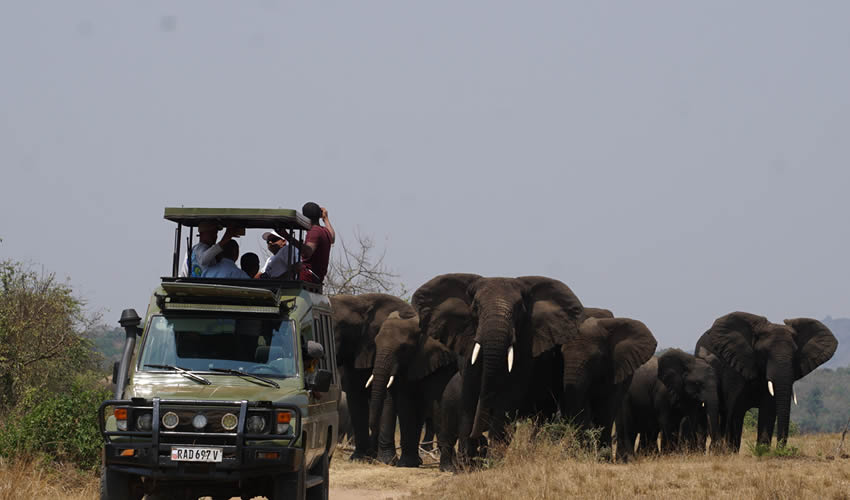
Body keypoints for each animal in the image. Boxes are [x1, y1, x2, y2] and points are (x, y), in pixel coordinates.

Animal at [367, 310, 460, 467]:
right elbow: (406, 401)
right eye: (375, 343)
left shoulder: (441, 361)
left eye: (403, 348)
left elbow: (437, 397)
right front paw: (406, 464)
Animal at [412, 274, 585, 460]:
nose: (479, 438)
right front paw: (466, 461)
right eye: (476, 307)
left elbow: (507, 397)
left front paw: (492, 460)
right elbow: (469, 395)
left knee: (543, 416)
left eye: (519, 309)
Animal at [695, 312, 837, 451]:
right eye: (763, 352)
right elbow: (735, 408)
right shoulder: (734, 367)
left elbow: (768, 409)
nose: (781, 449)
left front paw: (762, 451)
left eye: (795, 353)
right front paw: (729, 452)